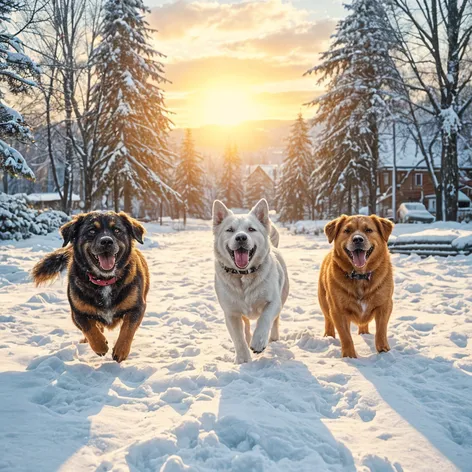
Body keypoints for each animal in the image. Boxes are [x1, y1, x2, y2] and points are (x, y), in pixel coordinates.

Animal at [32, 210, 149, 362]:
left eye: (117, 230)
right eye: (92, 231)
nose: (106, 241)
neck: (105, 281)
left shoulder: (137, 307)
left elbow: (128, 328)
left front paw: (121, 350)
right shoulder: (78, 312)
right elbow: (89, 329)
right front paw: (100, 345)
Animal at [213, 197, 288, 364]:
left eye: (251, 229)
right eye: (230, 230)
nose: (241, 237)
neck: (244, 275)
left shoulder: (273, 301)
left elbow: (265, 318)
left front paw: (259, 342)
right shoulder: (231, 312)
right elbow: (238, 338)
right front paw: (243, 360)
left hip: (283, 296)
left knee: (275, 320)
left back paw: (273, 337)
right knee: (246, 326)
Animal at [318, 215, 392, 358]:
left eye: (369, 230)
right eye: (347, 230)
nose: (358, 239)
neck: (360, 276)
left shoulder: (384, 305)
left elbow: (381, 330)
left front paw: (383, 350)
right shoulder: (338, 310)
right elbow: (345, 336)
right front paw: (349, 356)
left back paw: (364, 332)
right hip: (323, 301)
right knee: (328, 320)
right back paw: (329, 337)